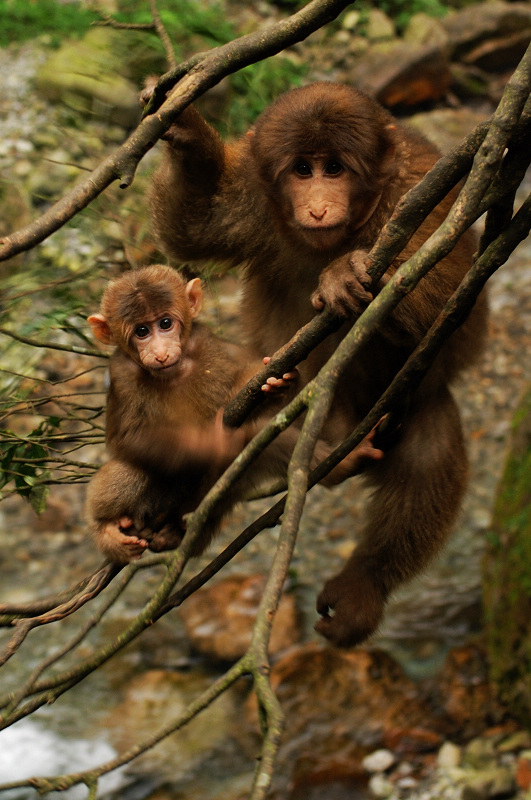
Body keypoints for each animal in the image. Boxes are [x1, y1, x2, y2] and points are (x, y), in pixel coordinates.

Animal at [87, 264, 386, 564]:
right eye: (141, 331)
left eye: (165, 323)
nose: (160, 353)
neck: (173, 371)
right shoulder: (121, 372)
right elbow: (130, 436)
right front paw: (213, 444)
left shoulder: (207, 342)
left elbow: (247, 387)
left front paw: (280, 383)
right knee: (133, 471)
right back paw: (106, 529)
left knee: (270, 440)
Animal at [143, 78, 488, 648]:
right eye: (303, 170)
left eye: (336, 167)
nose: (320, 206)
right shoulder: (252, 198)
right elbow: (193, 229)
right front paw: (188, 134)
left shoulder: (426, 191)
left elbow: (453, 295)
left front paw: (347, 271)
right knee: (237, 434)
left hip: (406, 402)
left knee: (428, 451)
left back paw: (364, 584)